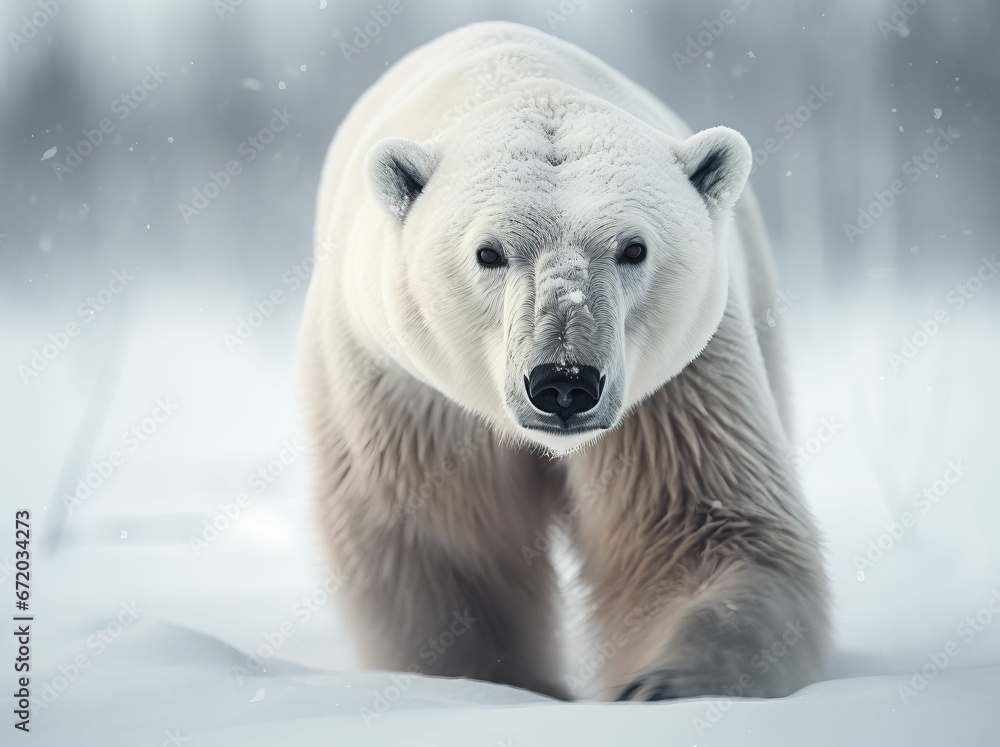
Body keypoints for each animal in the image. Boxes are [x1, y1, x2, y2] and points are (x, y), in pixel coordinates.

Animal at [300, 21, 828, 701]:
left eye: (634, 248)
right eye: (488, 252)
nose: (564, 383)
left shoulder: (679, 388)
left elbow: (703, 525)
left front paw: (663, 684)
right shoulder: (408, 396)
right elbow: (442, 552)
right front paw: (493, 683)